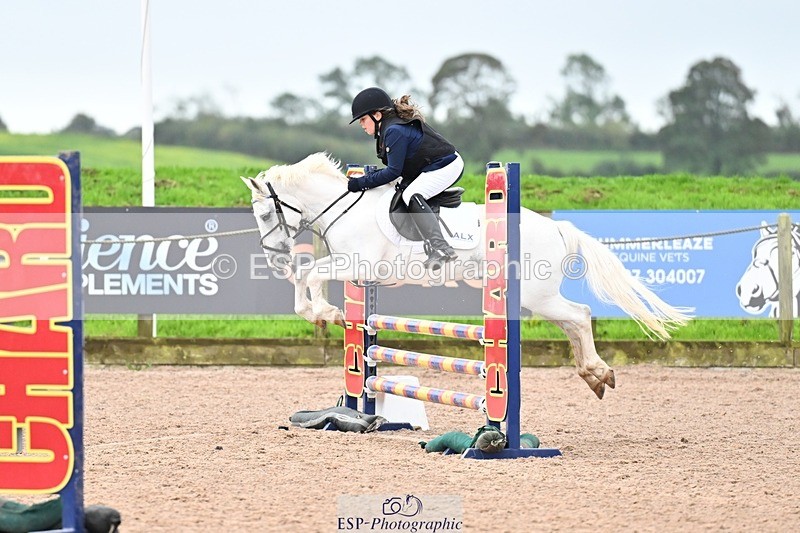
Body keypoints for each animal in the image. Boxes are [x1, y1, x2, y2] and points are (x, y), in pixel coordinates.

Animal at [242, 152, 692, 399]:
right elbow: (305, 278)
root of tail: (557, 227)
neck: (343, 207)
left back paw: (597, 371)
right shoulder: (354, 269)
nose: (274, 256)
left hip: (535, 295)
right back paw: (594, 376)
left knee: (579, 315)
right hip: (537, 298)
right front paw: (323, 314)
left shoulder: (358, 265)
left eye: (265, 215)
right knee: (572, 321)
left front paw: (326, 313)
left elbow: (310, 275)